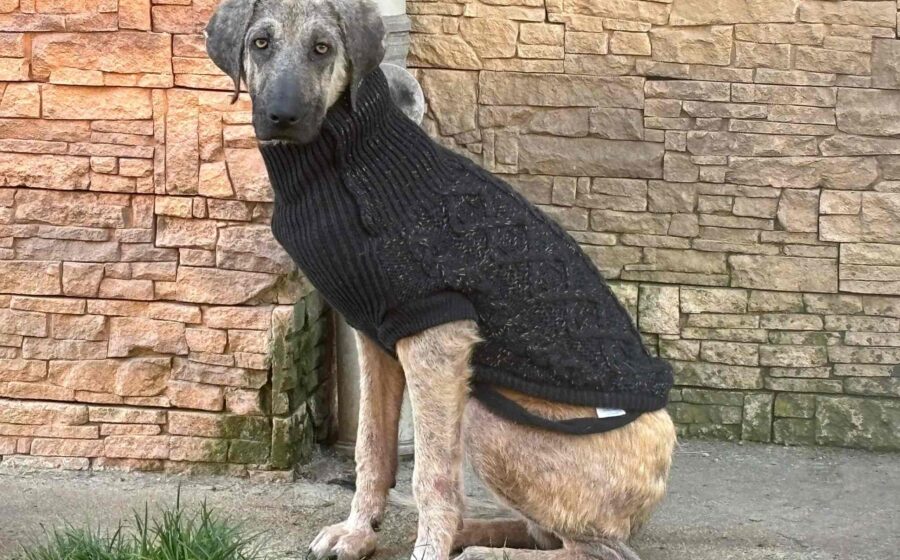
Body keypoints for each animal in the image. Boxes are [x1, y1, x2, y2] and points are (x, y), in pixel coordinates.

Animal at [205, 2, 677, 560]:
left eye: (322, 49)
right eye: (260, 43)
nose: (282, 116)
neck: (347, 156)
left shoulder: (436, 335)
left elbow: (430, 475)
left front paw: (426, 545)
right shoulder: (376, 338)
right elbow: (371, 449)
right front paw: (359, 531)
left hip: (488, 417)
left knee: (594, 550)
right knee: (546, 533)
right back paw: (470, 535)